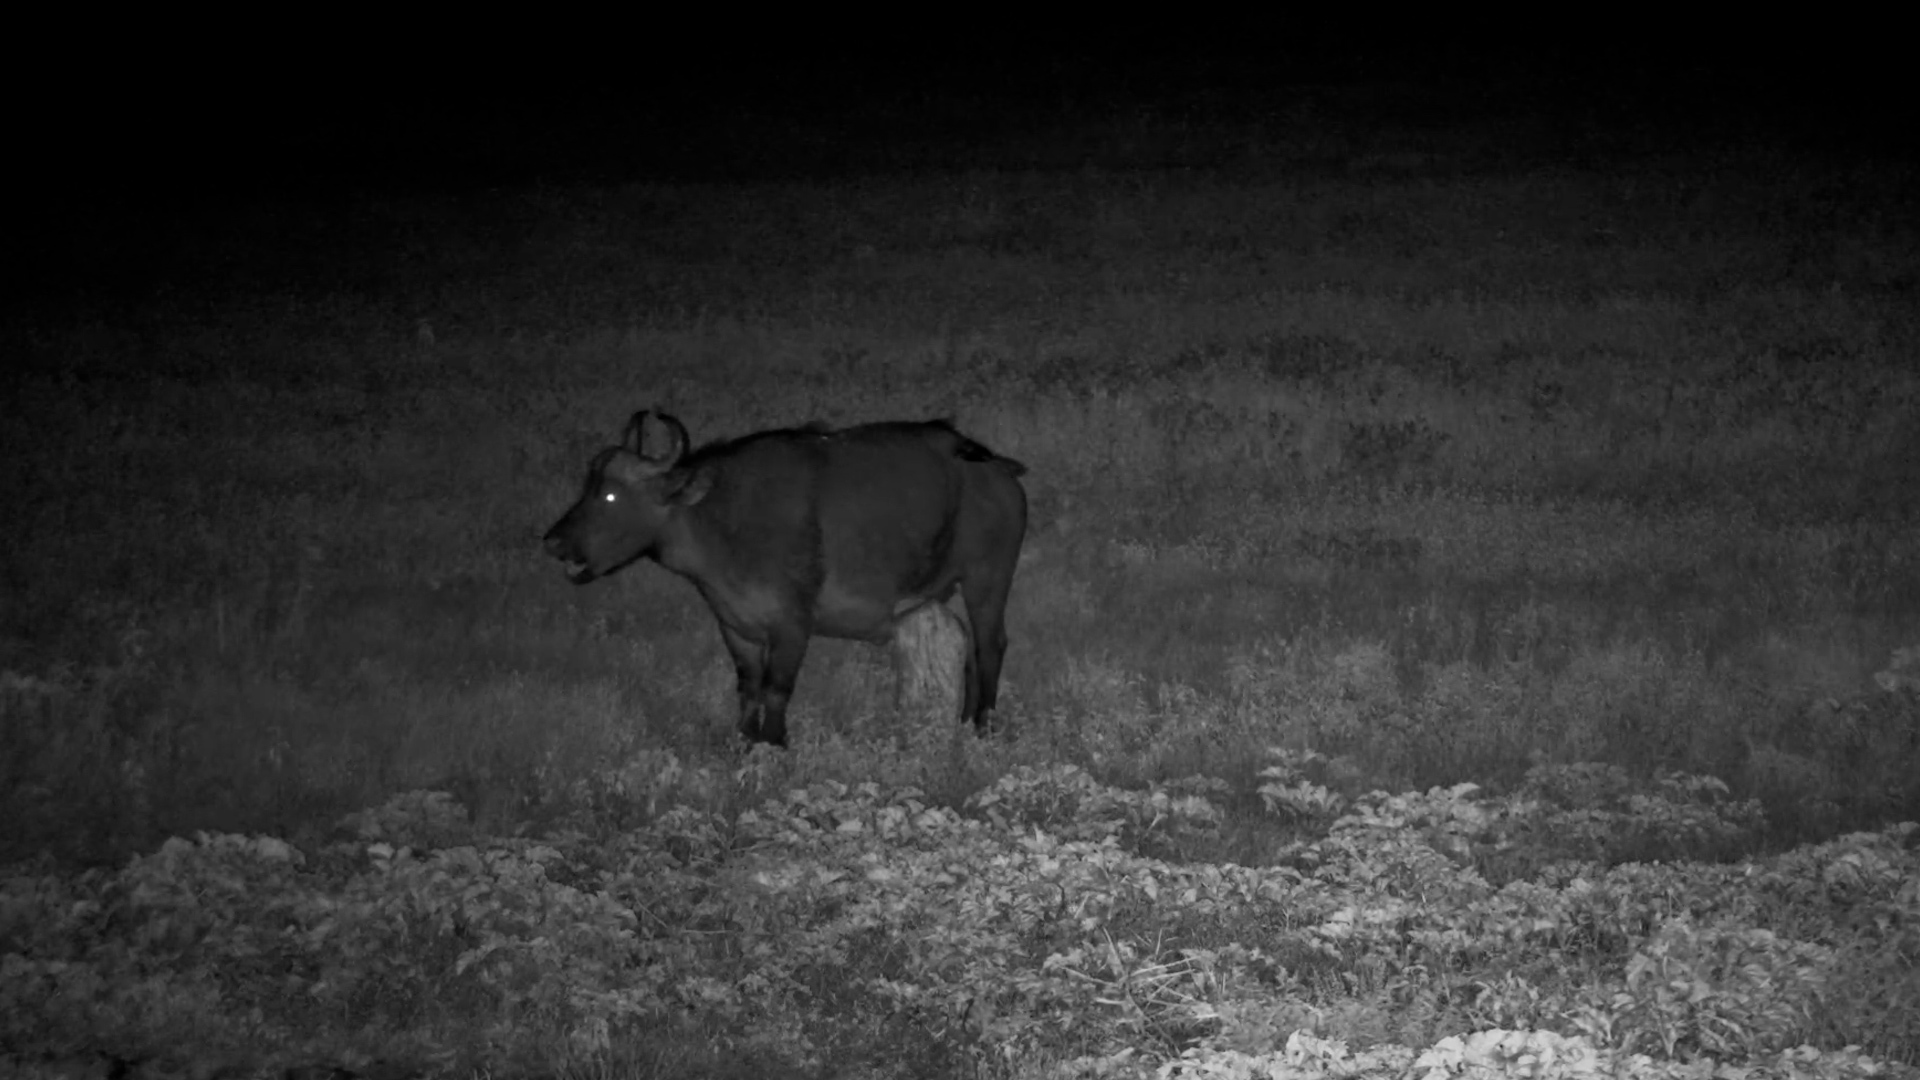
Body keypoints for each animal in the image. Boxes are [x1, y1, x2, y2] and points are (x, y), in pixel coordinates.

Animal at [543, 410, 1029, 747]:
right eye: (587, 487)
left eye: (610, 495)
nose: (553, 542)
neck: (723, 520)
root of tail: (997, 469)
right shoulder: (735, 627)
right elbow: (748, 687)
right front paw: (743, 741)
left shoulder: (792, 626)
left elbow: (777, 689)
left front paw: (773, 743)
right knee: (968, 650)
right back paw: (963, 721)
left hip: (988, 579)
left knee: (990, 645)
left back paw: (983, 726)